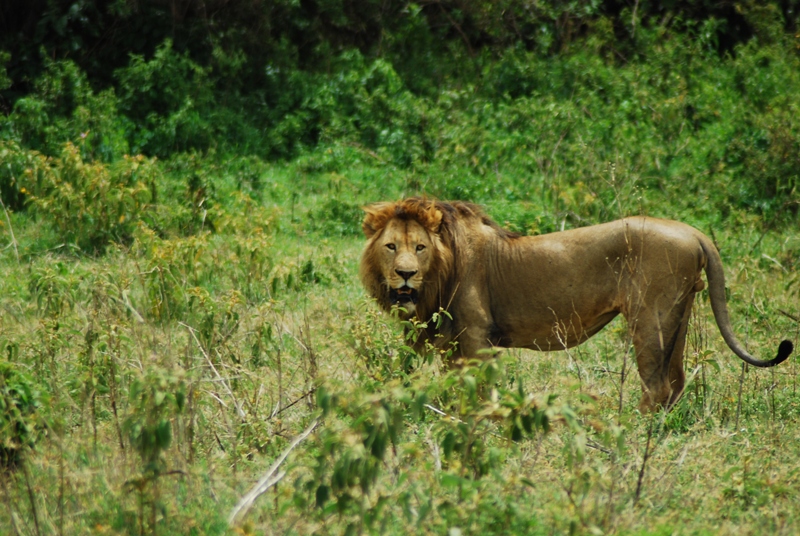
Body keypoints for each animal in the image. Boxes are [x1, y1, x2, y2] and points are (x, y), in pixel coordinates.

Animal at [362, 197, 792, 410]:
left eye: (419, 248)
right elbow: (457, 386)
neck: (441, 269)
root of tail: (694, 231)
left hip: (650, 317)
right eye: (391, 247)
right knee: (677, 381)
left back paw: (633, 429)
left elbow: (481, 389)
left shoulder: (476, 333)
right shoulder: (452, 341)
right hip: (679, 316)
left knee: (657, 384)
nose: (405, 275)